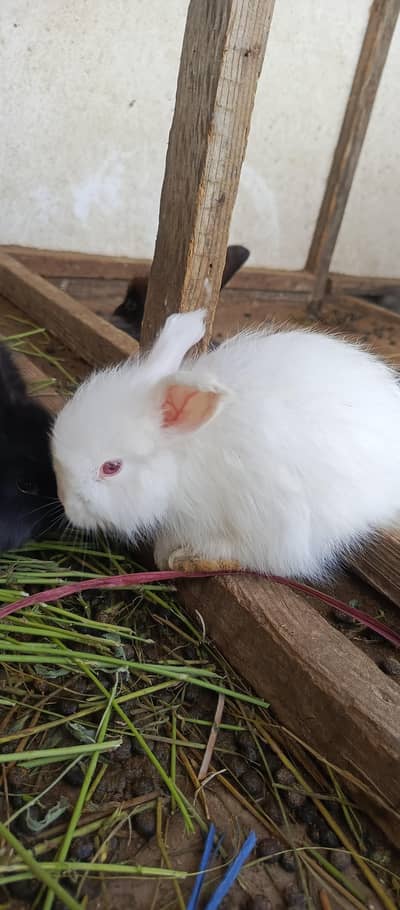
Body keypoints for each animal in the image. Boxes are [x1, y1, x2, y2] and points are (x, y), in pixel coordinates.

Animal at [51, 308, 400, 581]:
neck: (185, 458)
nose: (69, 509)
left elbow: (264, 559)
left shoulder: (277, 523)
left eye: (111, 467)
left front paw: (182, 558)